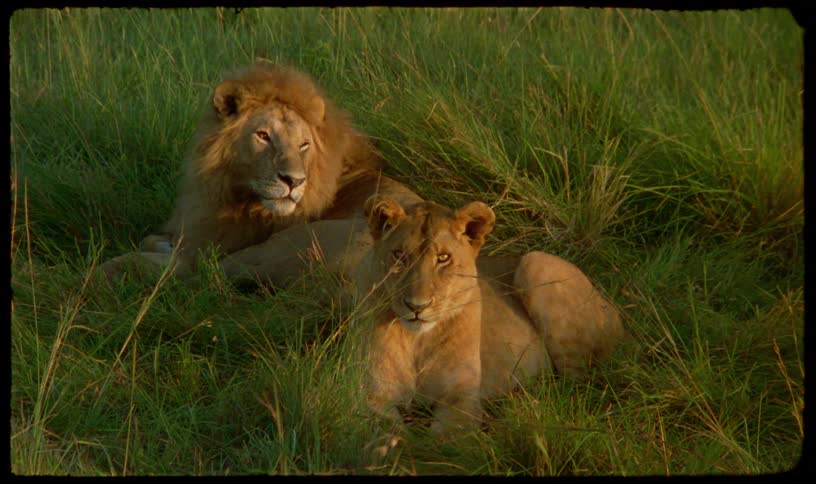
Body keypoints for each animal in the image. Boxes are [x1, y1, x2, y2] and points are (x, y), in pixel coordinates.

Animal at [357, 196, 624, 436]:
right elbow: (388, 434)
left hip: (536, 263)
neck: (418, 341)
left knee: (579, 385)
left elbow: (441, 441)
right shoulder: (374, 395)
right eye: (399, 256)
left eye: (443, 258)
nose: (416, 306)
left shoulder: (462, 398)